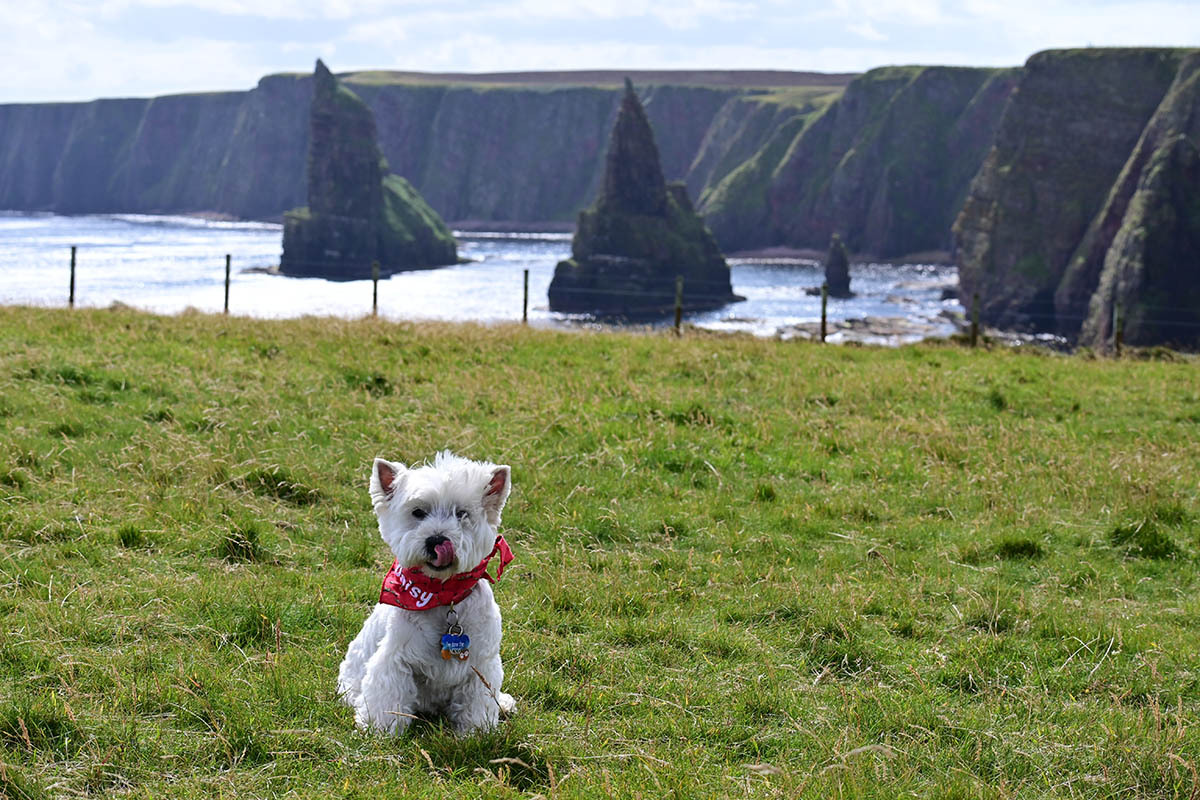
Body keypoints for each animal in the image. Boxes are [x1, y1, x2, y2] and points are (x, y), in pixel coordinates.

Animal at [338, 453, 516, 734]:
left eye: (461, 513)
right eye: (418, 512)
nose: (436, 540)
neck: (444, 596)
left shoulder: (482, 664)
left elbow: (477, 702)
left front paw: (476, 732)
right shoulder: (395, 658)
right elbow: (388, 698)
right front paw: (381, 731)